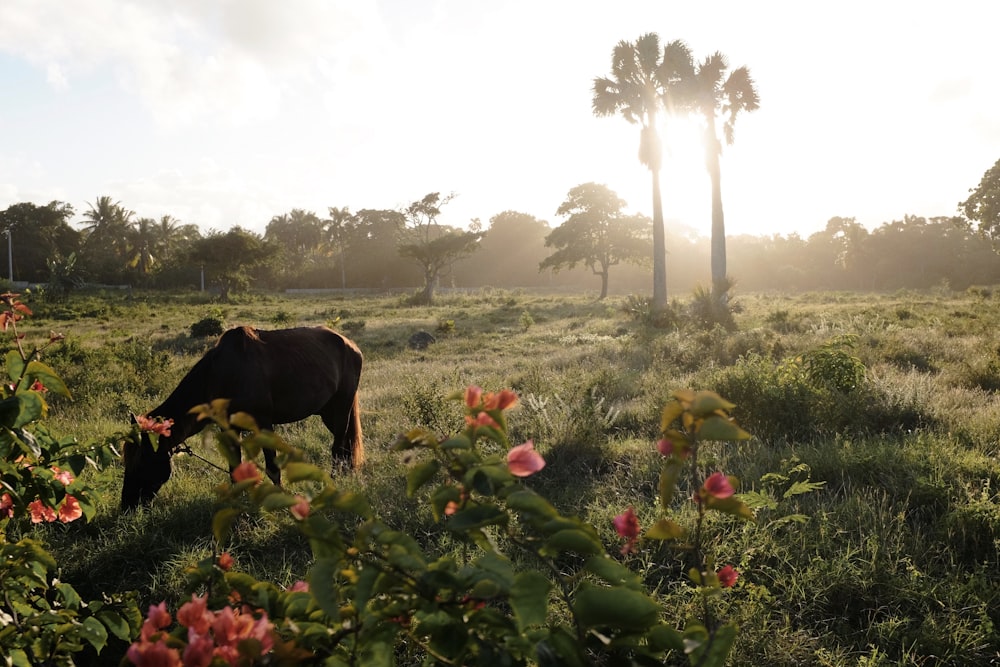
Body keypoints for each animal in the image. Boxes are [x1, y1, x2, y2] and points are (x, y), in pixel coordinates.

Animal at [121, 328, 364, 512]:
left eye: (141, 461)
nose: (127, 505)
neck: (219, 376)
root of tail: (351, 345)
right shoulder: (228, 428)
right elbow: (234, 471)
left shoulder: (263, 423)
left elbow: (272, 468)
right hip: (328, 412)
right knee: (344, 446)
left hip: (342, 406)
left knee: (338, 448)